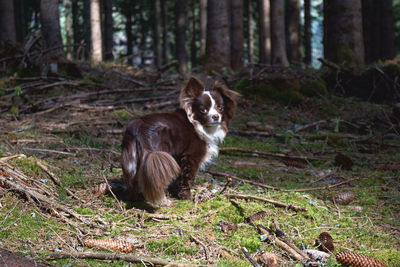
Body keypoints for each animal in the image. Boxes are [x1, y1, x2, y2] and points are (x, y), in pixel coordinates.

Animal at [120, 77, 239, 207]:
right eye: (203, 110)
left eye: (220, 108)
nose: (216, 116)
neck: (199, 123)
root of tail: (139, 125)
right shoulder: (191, 156)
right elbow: (187, 179)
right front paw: (187, 198)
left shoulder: (178, 156)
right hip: (158, 154)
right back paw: (162, 201)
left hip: (134, 155)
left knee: (134, 179)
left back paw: (133, 198)